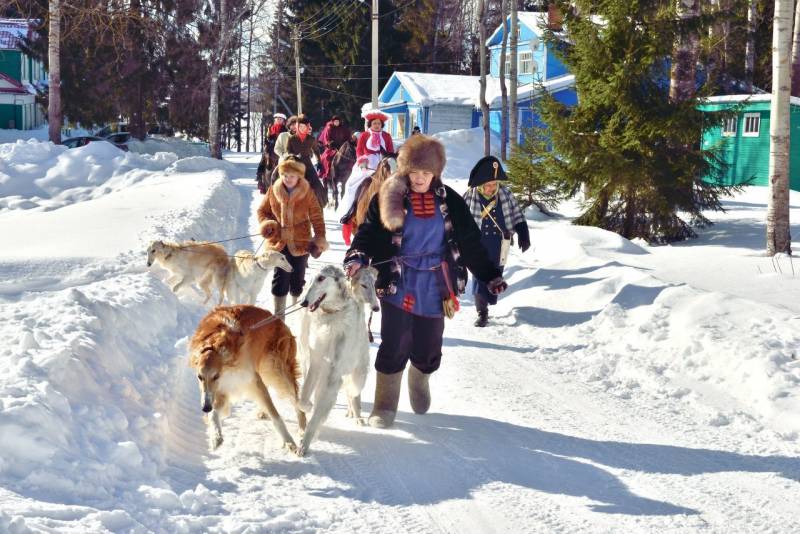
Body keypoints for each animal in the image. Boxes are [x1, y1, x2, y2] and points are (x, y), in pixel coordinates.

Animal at [188, 305, 307, 453]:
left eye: (216, 376)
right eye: (199, 377)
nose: (205, 408)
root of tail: (278, 319)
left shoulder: (253, 381)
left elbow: (276, 416)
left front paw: (289, 442)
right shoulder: (221, 390)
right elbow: (214, 413)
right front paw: (216, 437)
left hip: (276, 370)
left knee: (297, 402)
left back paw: (302, 432)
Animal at [295, 265, 380, 456]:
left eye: (321, 278)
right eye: (311, 279)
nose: (303, 302)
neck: (331, 316)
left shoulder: (333, 374)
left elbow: (317, 414)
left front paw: (305, 443)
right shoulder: (316, 364)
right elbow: (303, 399)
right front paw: (308, 408)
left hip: (357, 375)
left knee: (353, 393)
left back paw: (356, 416)